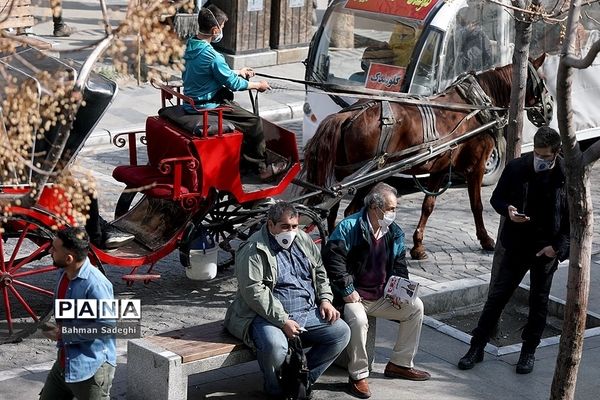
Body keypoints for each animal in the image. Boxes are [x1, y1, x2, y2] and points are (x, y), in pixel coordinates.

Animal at [304, 54, 552, 260]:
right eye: (542, 80)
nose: (549, 110)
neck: (478, 105)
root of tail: (347, 115)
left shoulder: (440, 168)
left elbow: (428, 206)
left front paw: (418, 246)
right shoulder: (477, 166)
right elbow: (477, 205)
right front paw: (486, 240)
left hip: (341, 176)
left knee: (333, 211)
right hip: (367, 177)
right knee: (350, 211)